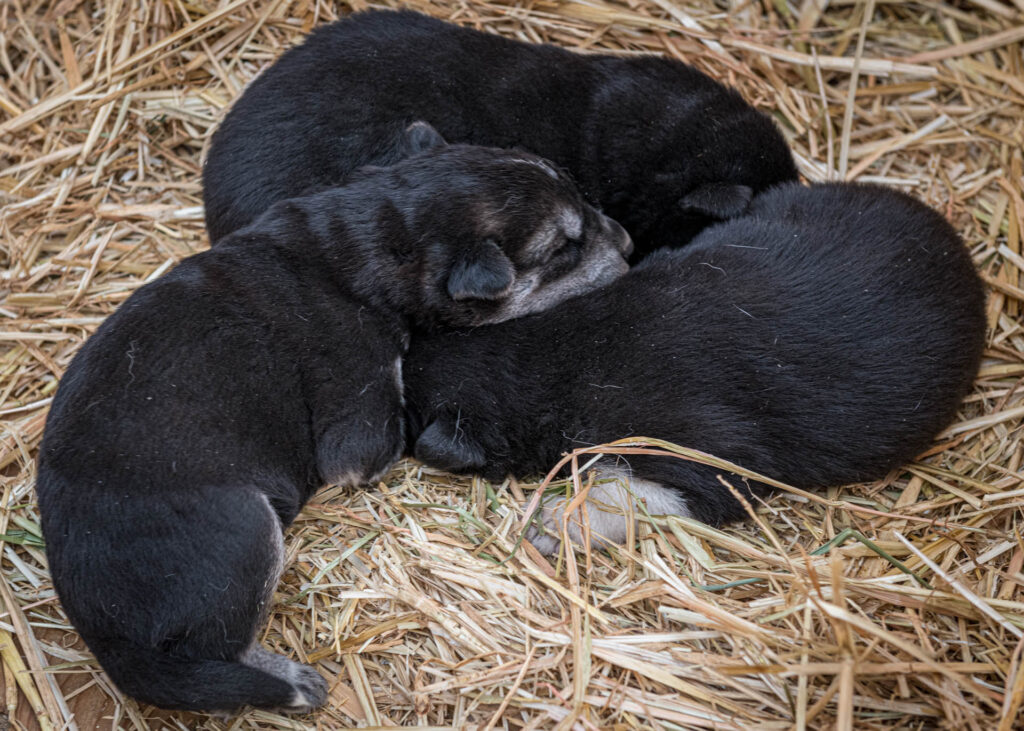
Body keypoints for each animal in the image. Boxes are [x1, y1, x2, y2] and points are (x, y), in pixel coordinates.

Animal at [36, 126, 630, 712]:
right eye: (564, 247)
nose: (627, 244)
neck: (370, 233)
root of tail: (107, 640)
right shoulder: (361, 415)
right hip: (246, 528)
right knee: (218, 653)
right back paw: (294, 684)